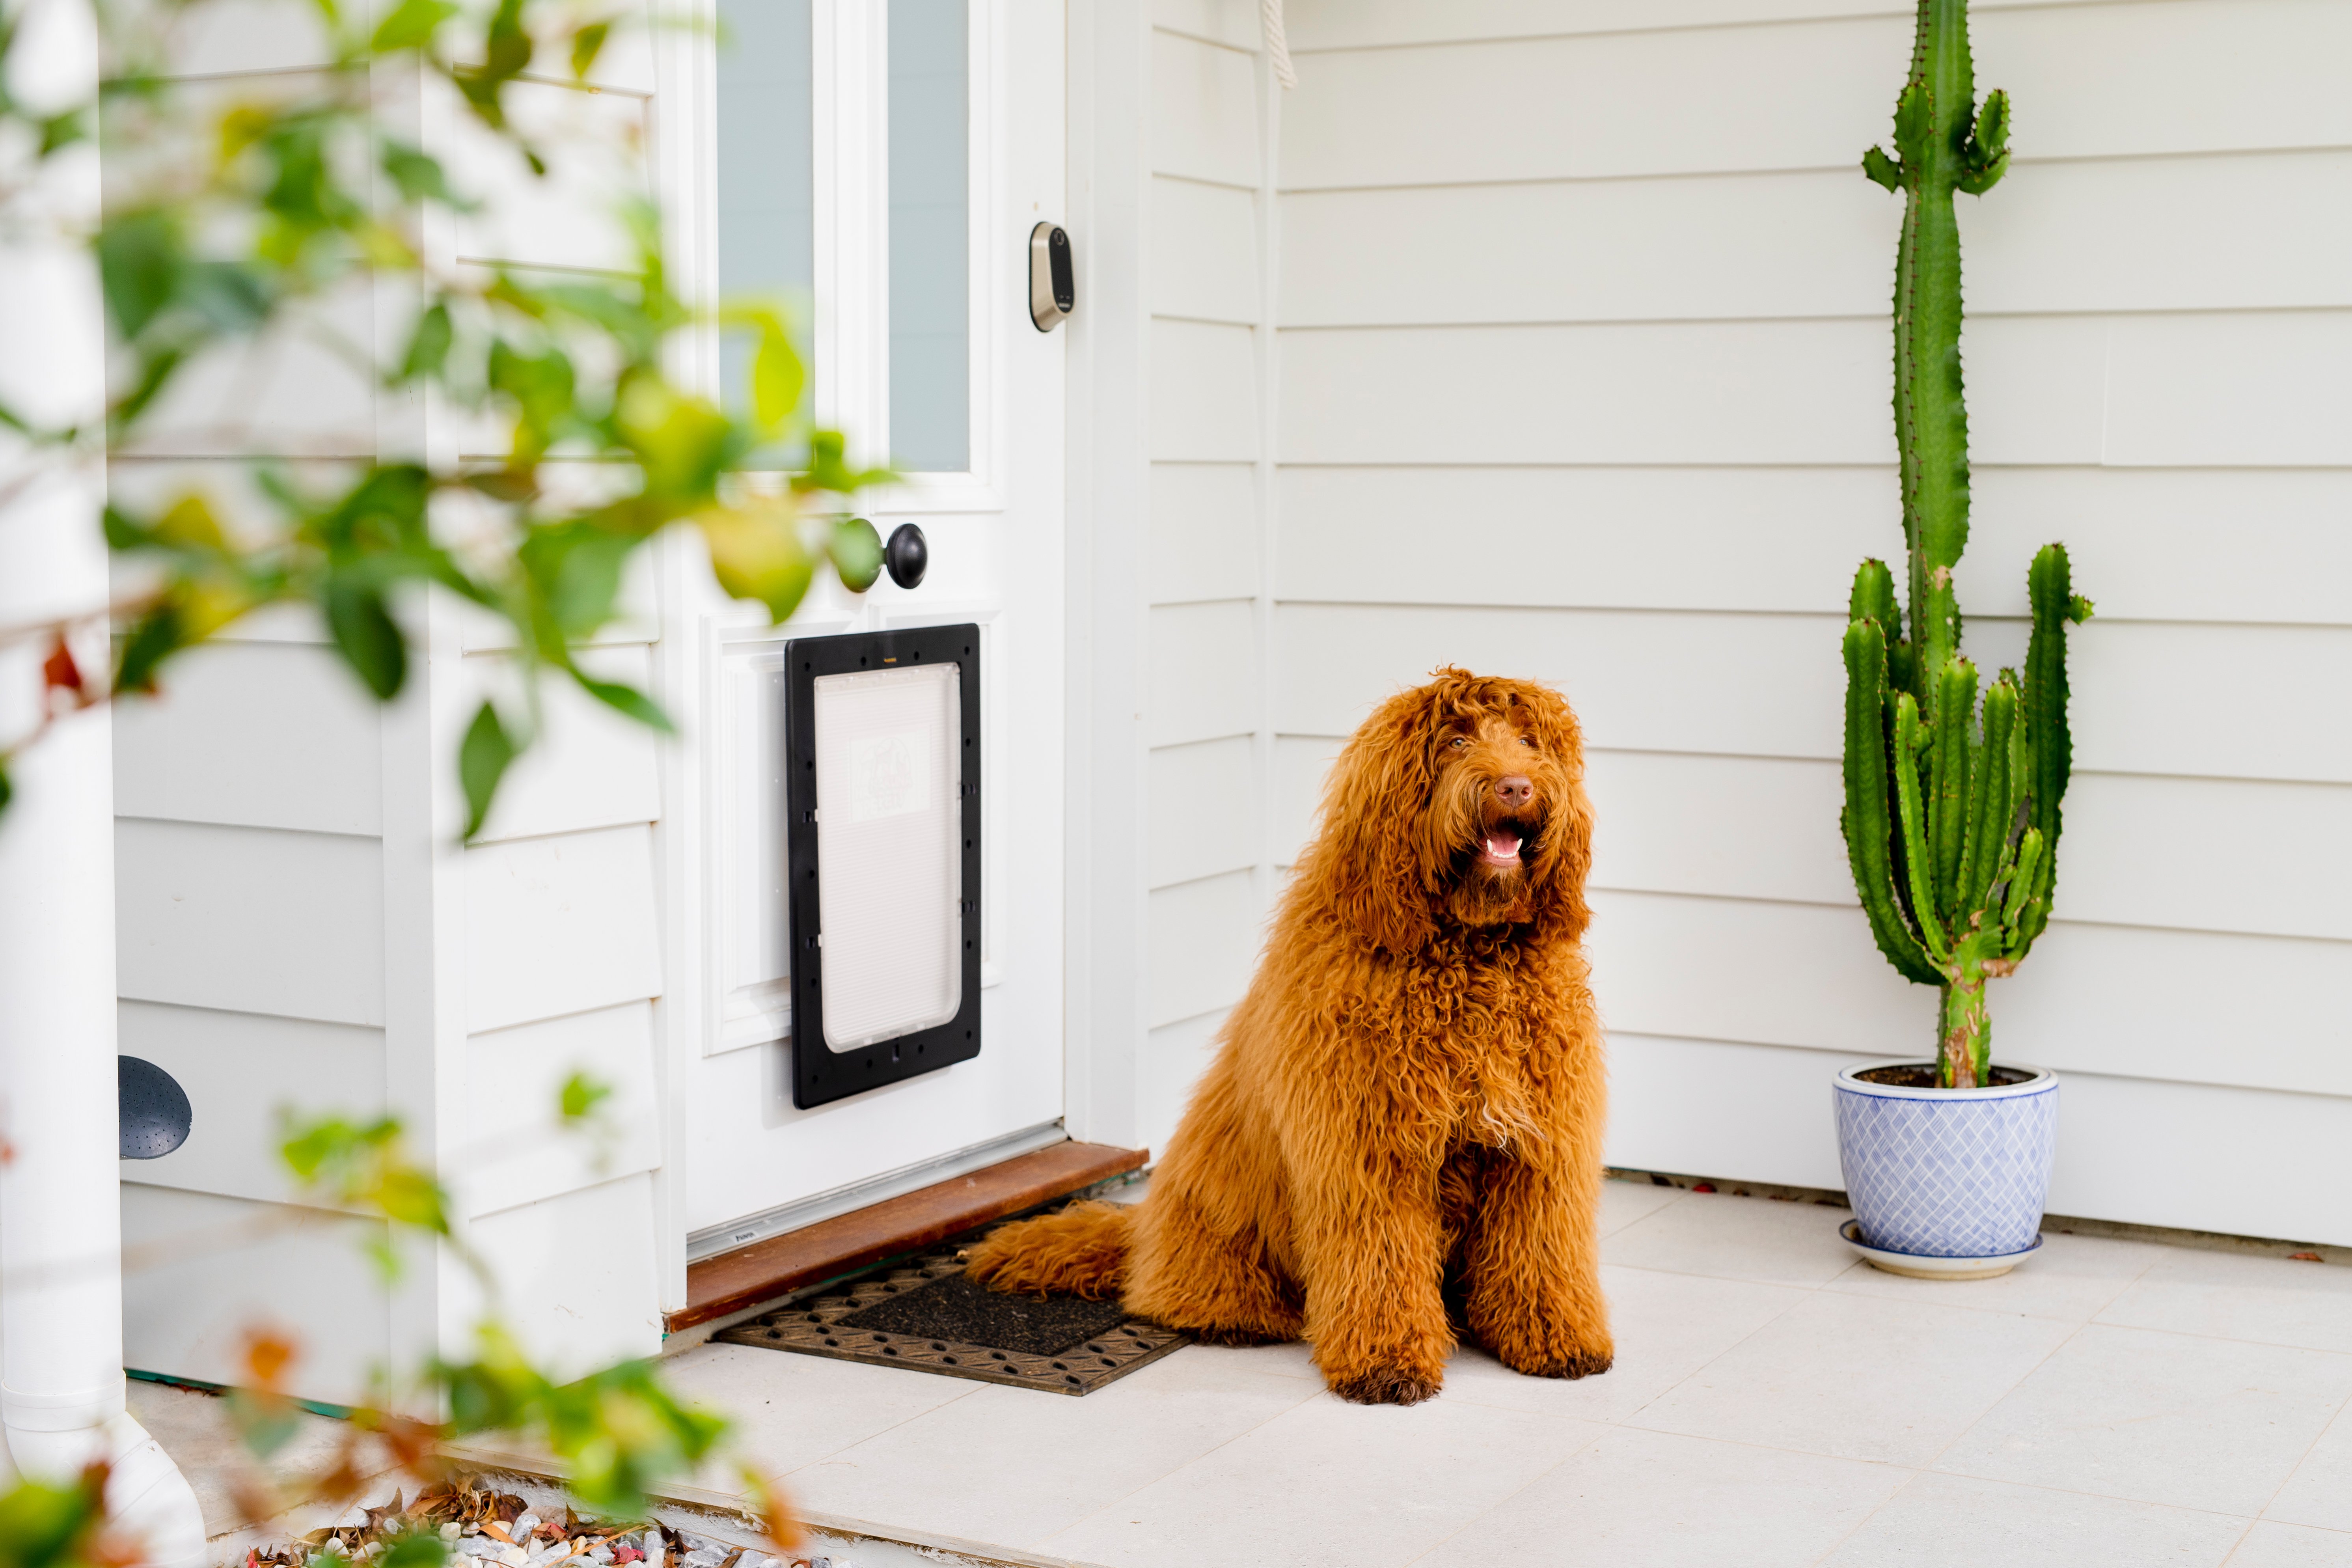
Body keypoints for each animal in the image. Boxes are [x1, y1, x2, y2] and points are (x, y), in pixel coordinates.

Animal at [964, 667, 1608, 1401]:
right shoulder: (1368, 1152)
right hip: (1217, 1227)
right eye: (1454, 739)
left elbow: (1542, 1249)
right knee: (1174, 1291)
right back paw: (1236, 1315)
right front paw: (1387, 1361)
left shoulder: (1539, 1151)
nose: (1516, 787)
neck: (1465, 954)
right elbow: (1380, 1255)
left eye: (1529, 742)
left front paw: (1557, 1338)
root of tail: (1143, 1226)